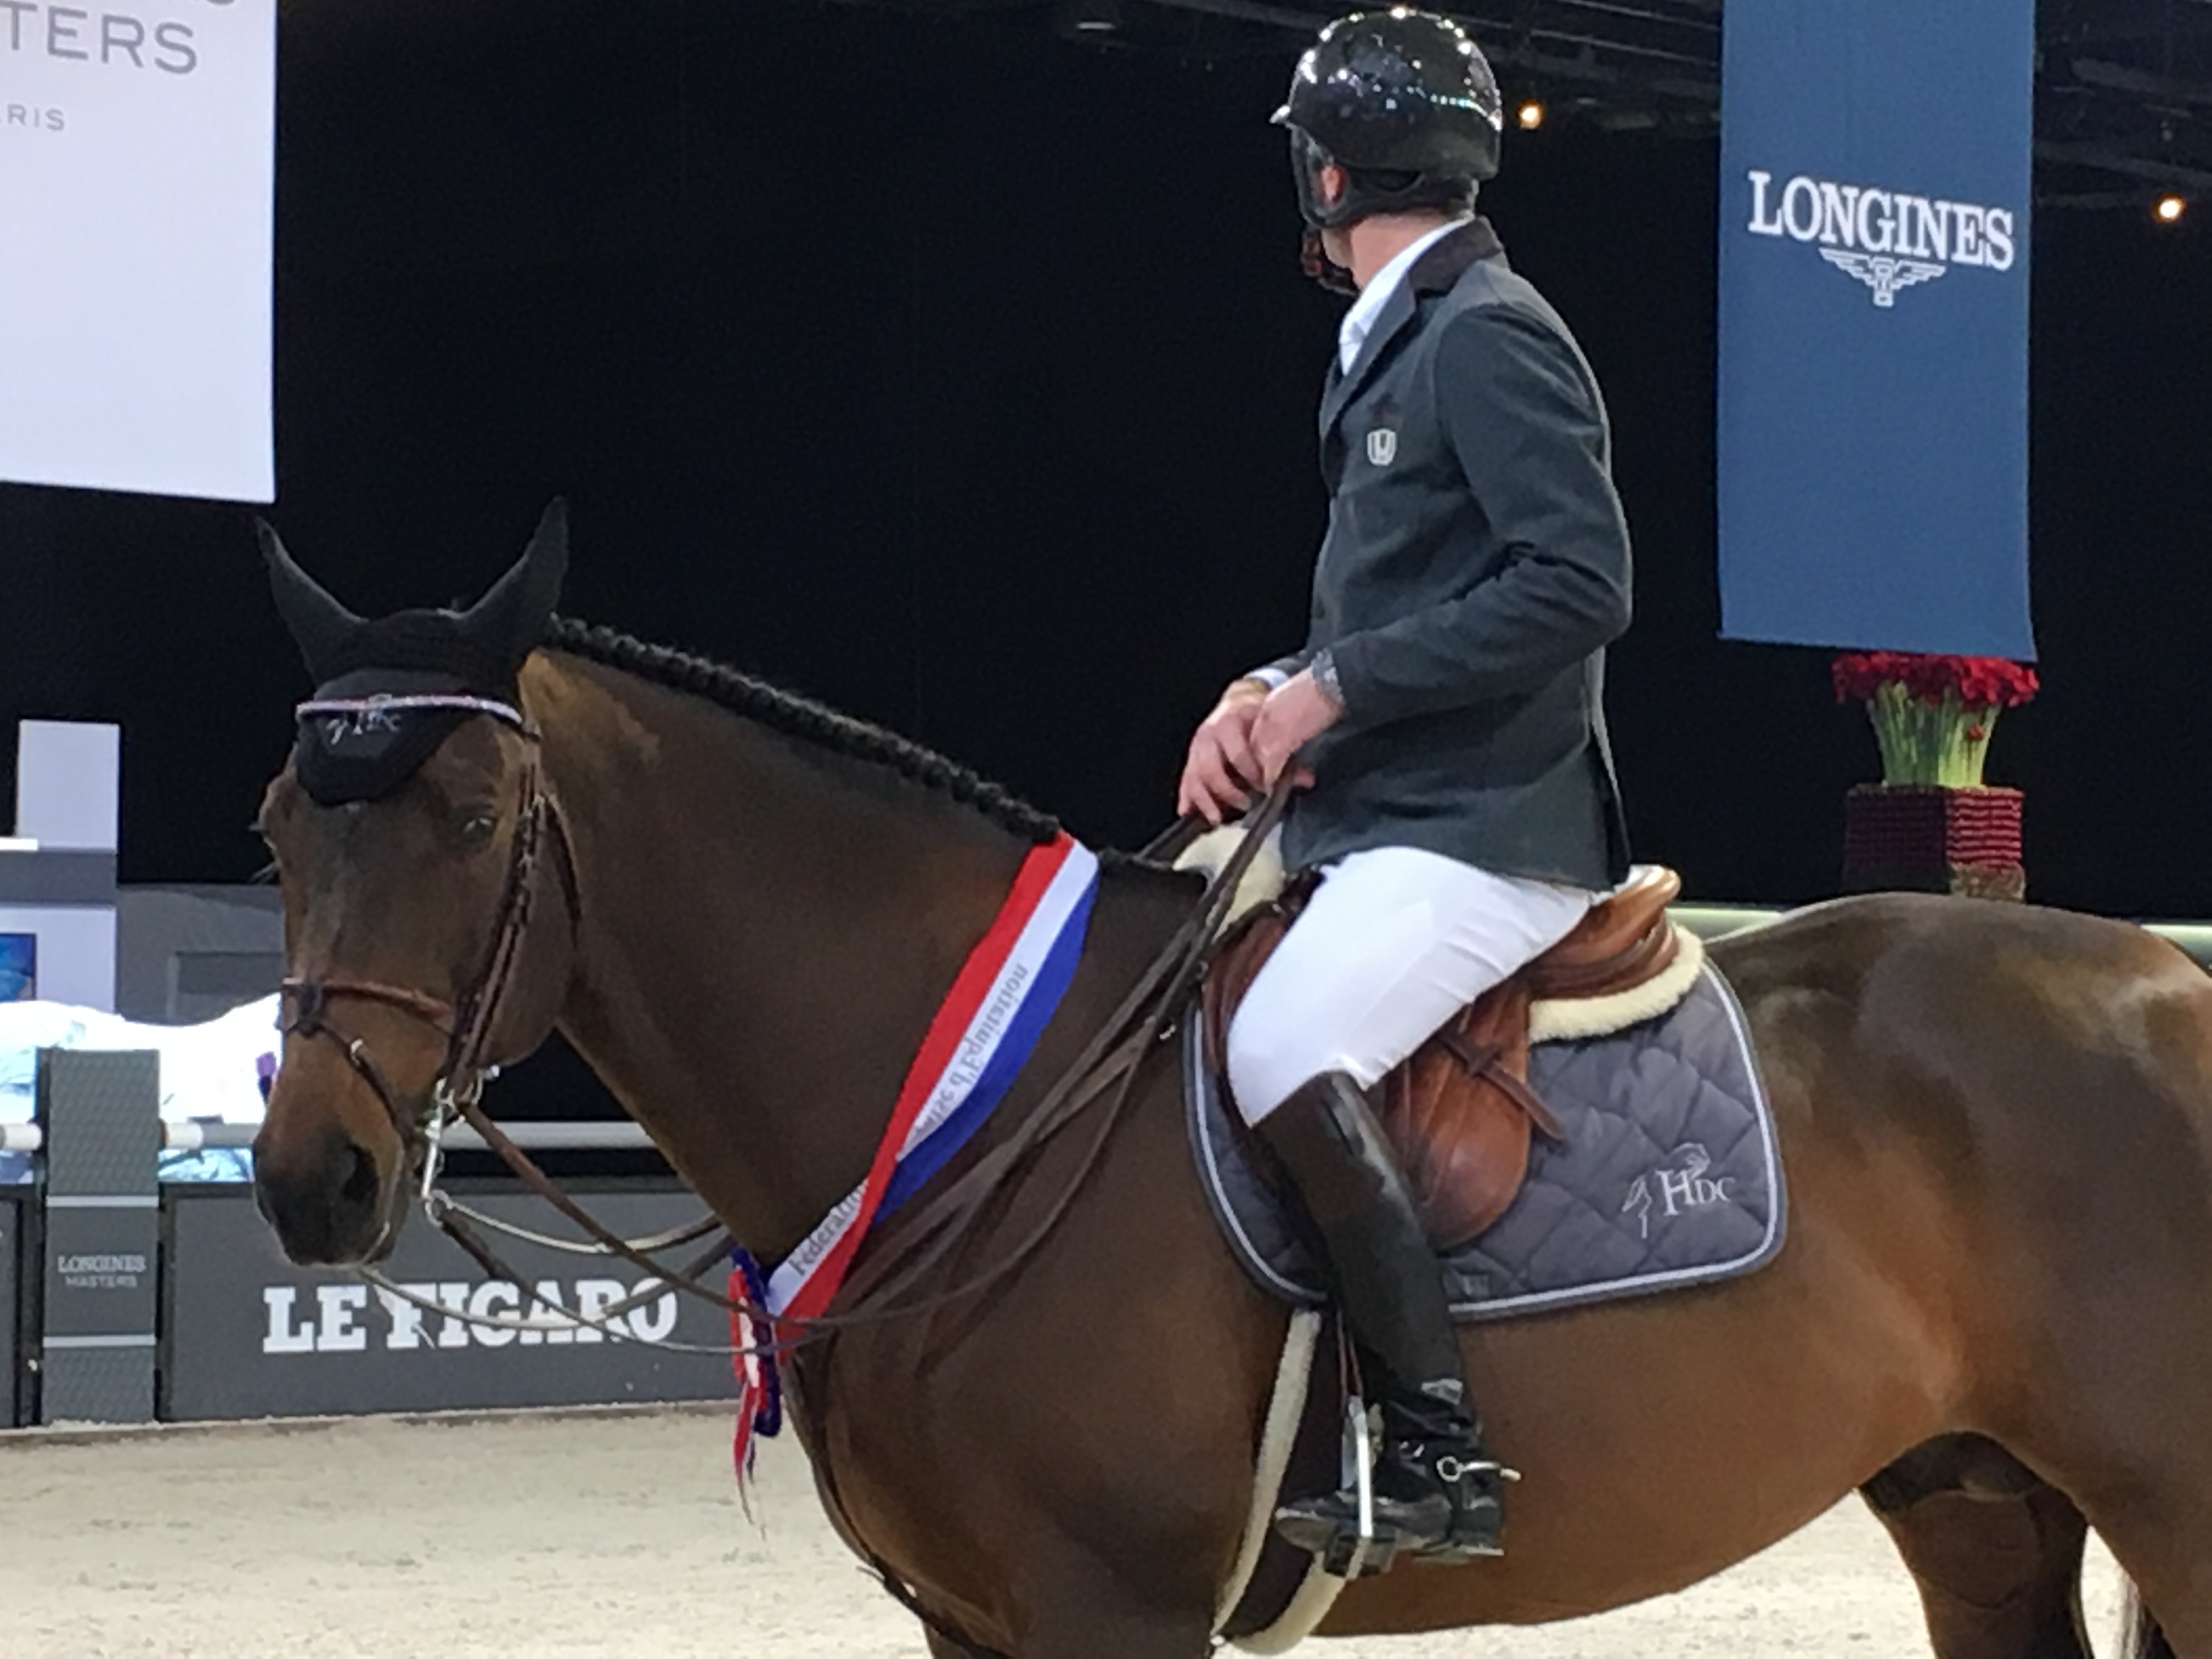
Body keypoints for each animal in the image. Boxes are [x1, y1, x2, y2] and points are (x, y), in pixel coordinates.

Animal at [251, 517, 2212, 1654]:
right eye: (278, 825)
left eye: (473, 819)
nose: (310, 1178)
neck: (963, 1101)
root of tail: (2172, 979)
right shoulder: (978, 1626)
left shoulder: (1107, 1615)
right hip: (1980, 1510)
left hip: (2174, 1511)